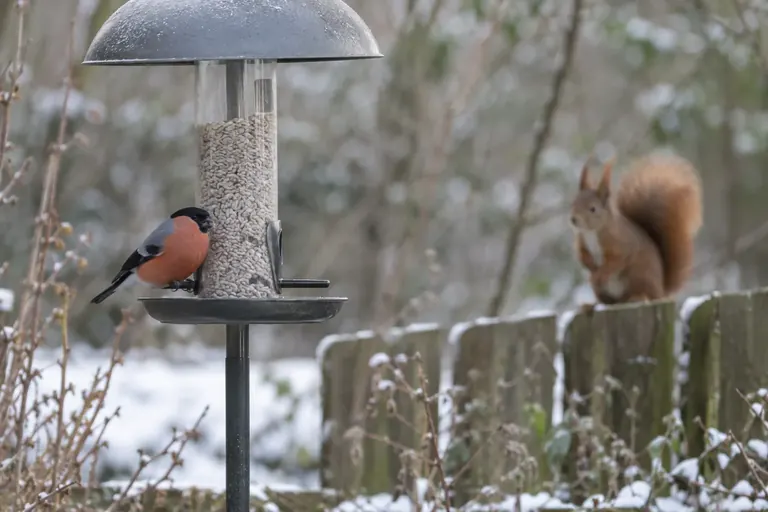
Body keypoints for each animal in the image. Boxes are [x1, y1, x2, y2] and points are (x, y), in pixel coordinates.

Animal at [569, 152, 703, 307]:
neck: (591, 232)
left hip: (639, 278)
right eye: (573, 203)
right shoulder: (581, 242)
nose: (574, 219)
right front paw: (590, 266)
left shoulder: (621, 244)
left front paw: (600, 274)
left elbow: (616, 261)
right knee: (610, 301)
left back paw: (637, 297)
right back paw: (592, 304)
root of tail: (661, 292)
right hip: (603, 290)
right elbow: (582, 256)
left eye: (593, 209)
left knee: (637, 295)